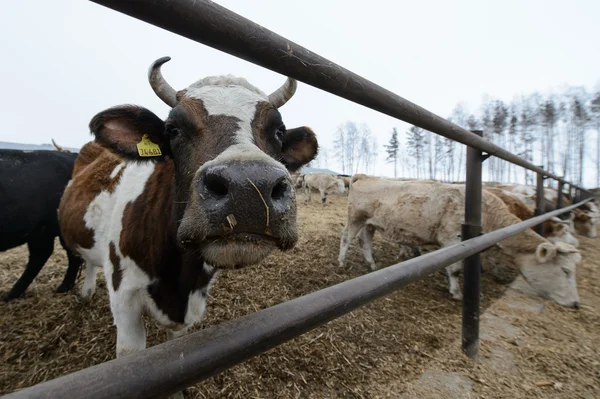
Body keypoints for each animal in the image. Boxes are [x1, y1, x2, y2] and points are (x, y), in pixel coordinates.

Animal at [340, 176, 584, 310]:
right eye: (565, 270)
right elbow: (455, 269)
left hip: (371, 223)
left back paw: (372, 264)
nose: (576, 303)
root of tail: (366, 176)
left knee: (365, 240)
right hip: (356, 218)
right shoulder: (451, 240)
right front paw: (456, 292)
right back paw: (342, 262)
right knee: (346, 237)